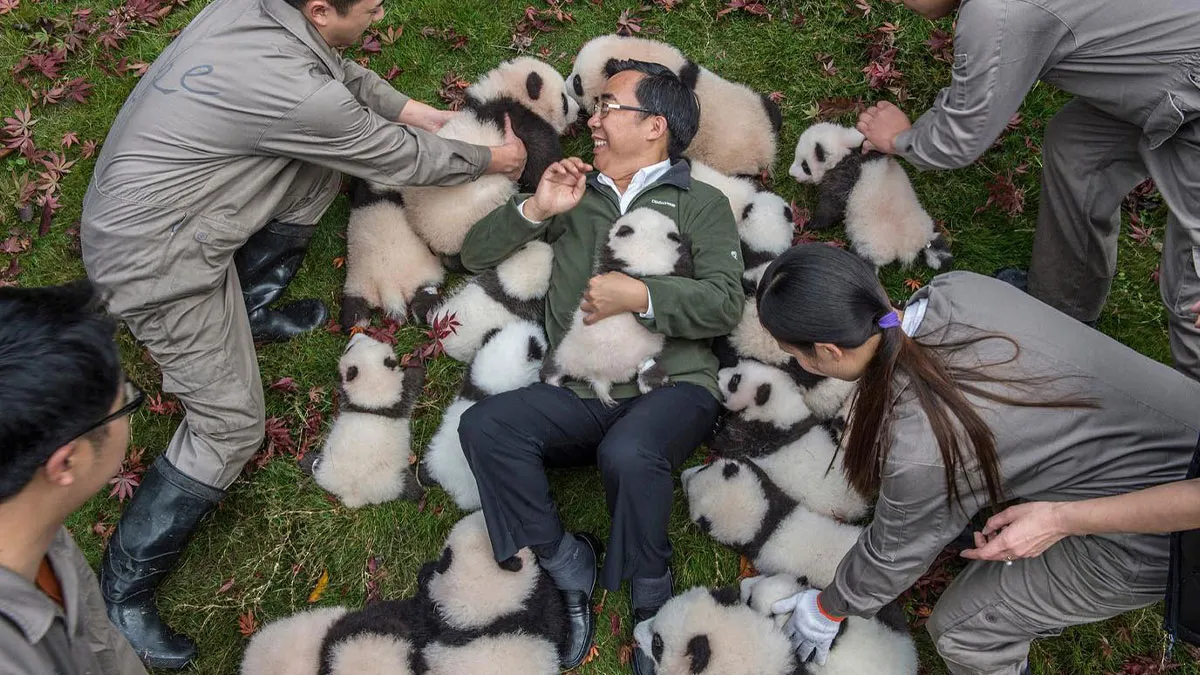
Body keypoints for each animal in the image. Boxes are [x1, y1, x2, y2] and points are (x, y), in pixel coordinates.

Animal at [309, 333, 425, 508]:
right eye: (350, 347)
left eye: (373, 339)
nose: (357, 334)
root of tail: (353, 496)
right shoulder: (401, 397)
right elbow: (413, 381)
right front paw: (419, 361)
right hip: (391, 481)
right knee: (408, 487)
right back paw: (419, 494)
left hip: (328, 468)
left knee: (318, 467)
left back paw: (306, 460)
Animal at [340, 180, 446, 329]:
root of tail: (389, 287)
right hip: (419, 275)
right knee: (424, 298)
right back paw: (432, 313)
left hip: (360, 286)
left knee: (354, 311)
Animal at [401, 57, 578, 260]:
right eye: (564, 100)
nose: (578, 109)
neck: (506, 91)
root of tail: (428, 238)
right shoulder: (520, 125)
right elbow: (542, 163)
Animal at [543, 208, 693, 406]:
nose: (617, 215)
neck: (643, 252)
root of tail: (598, 377)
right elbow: (686, 271)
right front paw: (686, 242)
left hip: (572, 351)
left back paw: (551, 378)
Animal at [789, 122, 952, 271]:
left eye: (805, 166)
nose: (791, 174)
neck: (843, 149)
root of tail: (907, 245)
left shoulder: (843, 176)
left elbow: (831, 206)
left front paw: (811, 224)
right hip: (921, 220)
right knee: (934, 238)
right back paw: (942, 257)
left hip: (873, 243)